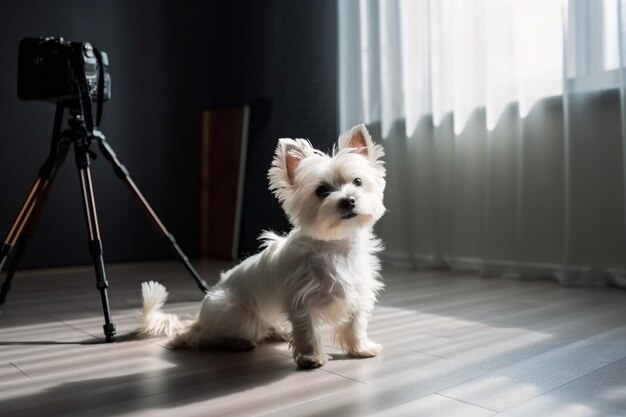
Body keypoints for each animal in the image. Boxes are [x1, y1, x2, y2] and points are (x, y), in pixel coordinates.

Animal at [139, 123, 386, 368]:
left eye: (357, 182)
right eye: (321, 191)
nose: (348, 200)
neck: (337, 245)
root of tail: (199, 320)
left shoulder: (358, 292)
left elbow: (356, 324)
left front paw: (360, 349)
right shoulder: (300, 301)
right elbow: (306, 330)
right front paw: (311, 357)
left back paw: (279, 331)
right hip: (237, 314)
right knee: (207, 339)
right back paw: (238, 343)